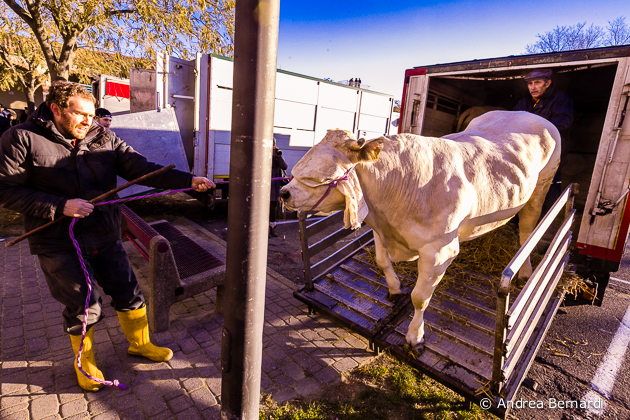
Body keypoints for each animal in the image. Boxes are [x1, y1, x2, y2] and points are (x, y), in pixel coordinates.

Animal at [282, 110, 564, 346]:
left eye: (319, 175)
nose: (284, 193)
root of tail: (526, 113)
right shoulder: (380, 229)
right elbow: (382, 261)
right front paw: (395, 289)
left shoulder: (438, 251)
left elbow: (420, 297)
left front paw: (415, 336)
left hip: (541, 188)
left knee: (528, 228)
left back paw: (525, 271)